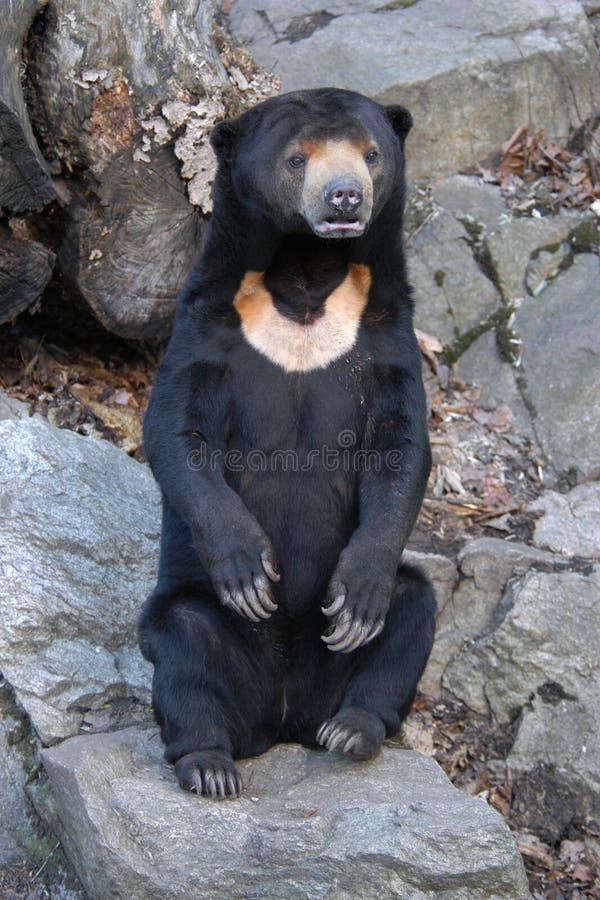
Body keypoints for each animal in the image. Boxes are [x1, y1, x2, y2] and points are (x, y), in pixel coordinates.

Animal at [141, 88, 436, 800]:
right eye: (297, 158)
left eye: (370, 153)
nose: (345, 199)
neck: (306, 275)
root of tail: (281, 720)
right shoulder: (207, 321)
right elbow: (174, 429)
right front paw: (249, 567)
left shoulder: (386, 331)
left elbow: (401, 444)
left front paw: (357, 595)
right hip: (205, 627)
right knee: (182, 646)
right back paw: (208, 763)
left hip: (343, 659)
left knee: (411, 611)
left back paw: (353, 728)